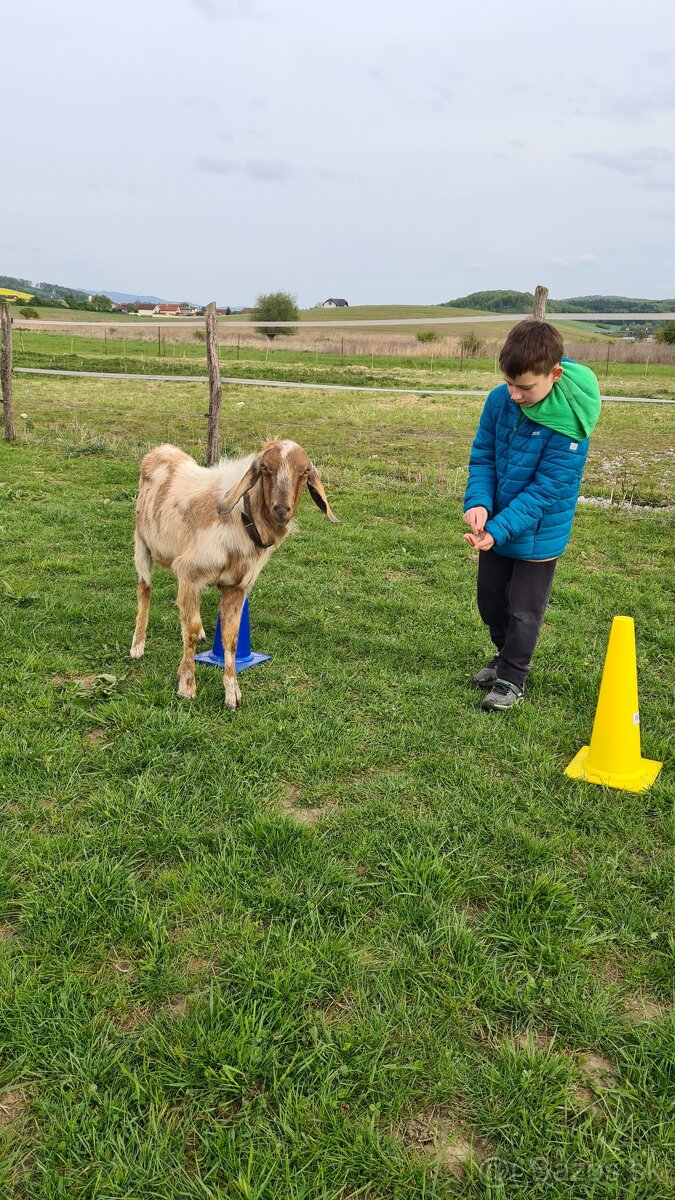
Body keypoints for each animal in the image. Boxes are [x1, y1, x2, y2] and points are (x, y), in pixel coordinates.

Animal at [130, 439, 336, 700]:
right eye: (265, 468)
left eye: (305, 471)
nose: (281, 510)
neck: (241, 518)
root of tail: (161, 450)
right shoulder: (188, 572)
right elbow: (191, 632)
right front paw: (187, 685)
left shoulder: (236, 586)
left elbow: (231, 638)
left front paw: (232, 693)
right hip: (141, 545)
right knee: (144, 590)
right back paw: (137, 646)